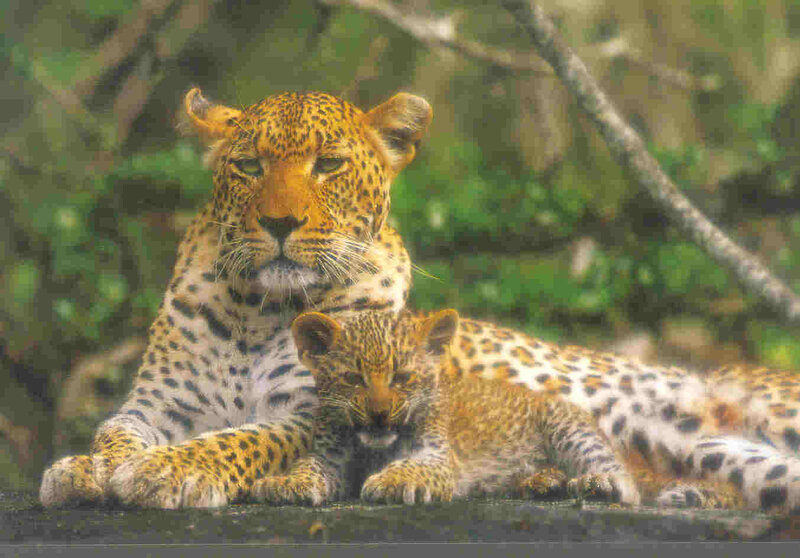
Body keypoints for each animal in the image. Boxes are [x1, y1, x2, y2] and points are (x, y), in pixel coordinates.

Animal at [253, 308, 640, 507]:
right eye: (353, 378)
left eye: (403, 377)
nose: (378, 414)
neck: (372, 450)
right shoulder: (328, 458)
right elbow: (308, 466)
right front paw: (285, 483)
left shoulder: (437, 458)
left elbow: (411, 466)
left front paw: (390, 481)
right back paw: (540, 481)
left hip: (568, 428)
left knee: (623, 478)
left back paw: (596, 482)